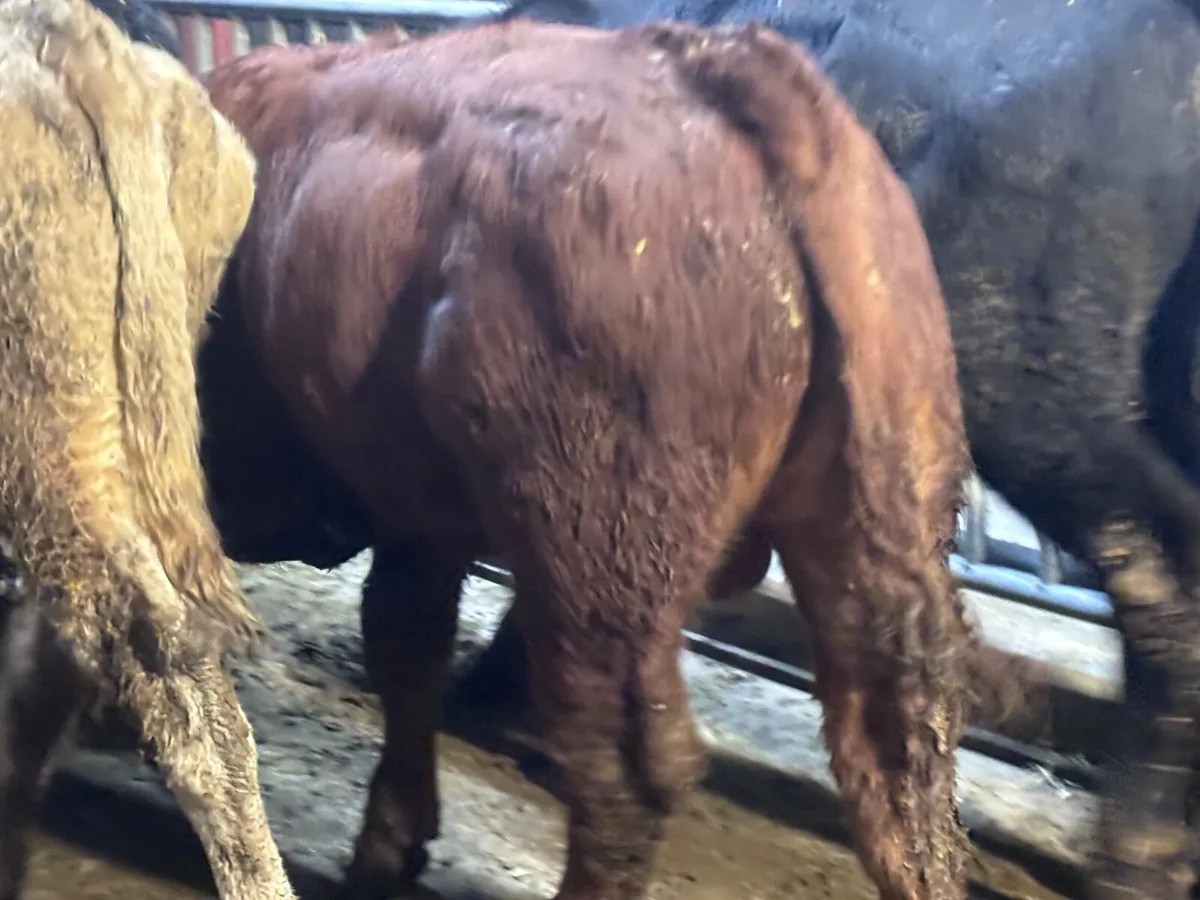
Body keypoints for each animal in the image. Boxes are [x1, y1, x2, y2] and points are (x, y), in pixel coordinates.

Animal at [204, 19, 981, 900]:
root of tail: (713, 61)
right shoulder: (420, 517)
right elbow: (405, 646)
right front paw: (389, 850)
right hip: (875, 516)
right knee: (899, 762)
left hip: (596, 557)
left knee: (630, 766)